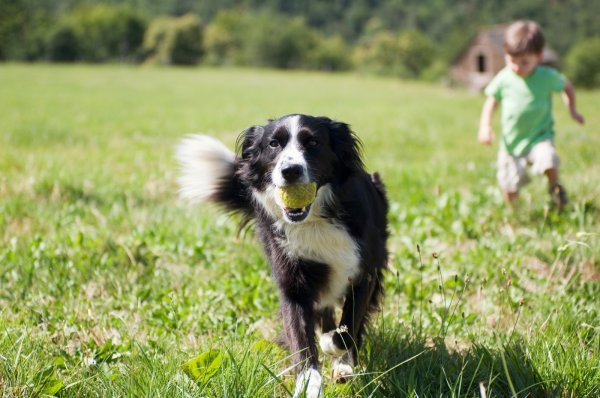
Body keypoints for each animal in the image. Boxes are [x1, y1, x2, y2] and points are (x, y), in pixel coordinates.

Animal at [177, 113, 390, 396]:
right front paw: (309, 385)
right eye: (273, 144)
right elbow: (302, 341)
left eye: (313, 142)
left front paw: (335, 351)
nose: (290, 171)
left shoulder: (363, 274)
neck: (315, 220)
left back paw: (343, 364)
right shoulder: (293, 286)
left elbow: (347, 331)